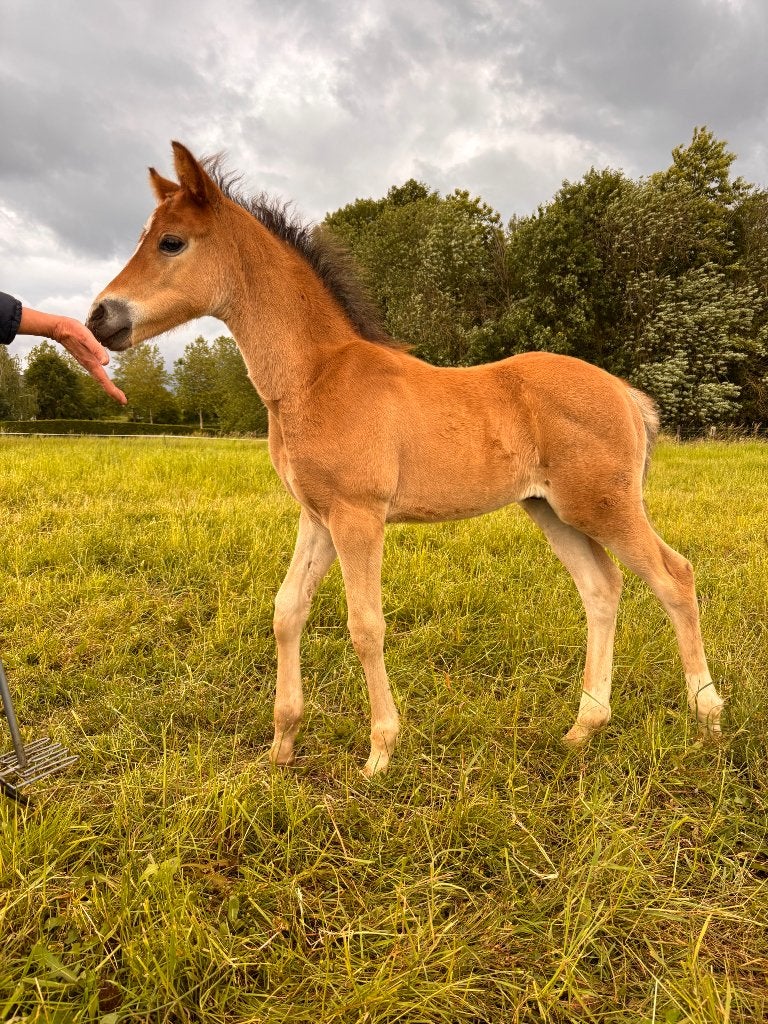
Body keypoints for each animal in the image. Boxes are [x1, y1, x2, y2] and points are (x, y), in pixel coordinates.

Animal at [86, 142, 724, 776]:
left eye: (171, 241)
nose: (99, 318)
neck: (315, 376)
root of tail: (625, 393)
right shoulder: (318, 516)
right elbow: (287, 611)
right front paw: (282, 744)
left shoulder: (358, 517)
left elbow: (365, 626)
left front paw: (380, 751)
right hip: (552, 510)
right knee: (602, 587)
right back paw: (584, 727)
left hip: (604, 505)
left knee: (674, 577)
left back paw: (707, 719)